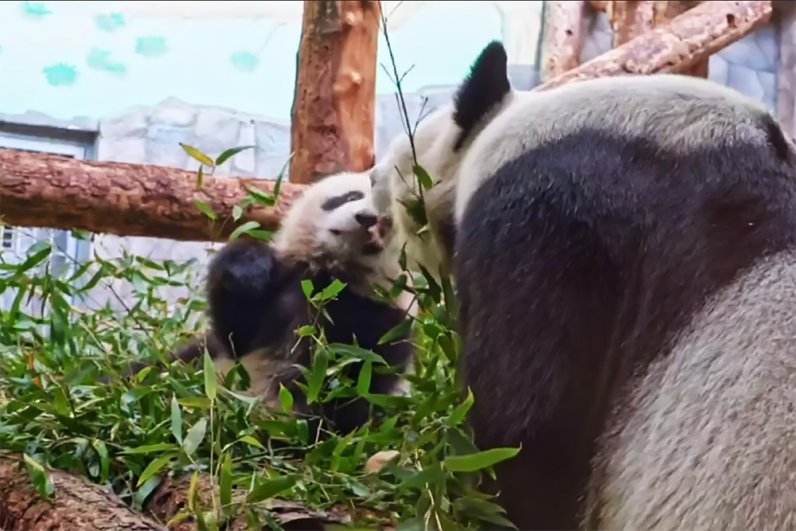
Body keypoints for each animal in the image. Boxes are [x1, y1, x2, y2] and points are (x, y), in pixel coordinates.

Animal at [168, 172, 416, 438]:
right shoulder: (282, 286)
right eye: (351, 196)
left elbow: (353, 389)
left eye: (388, 218)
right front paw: (248, 271)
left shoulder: (380, 324)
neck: (334, 276)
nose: (367, 219)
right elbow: (235, 333)